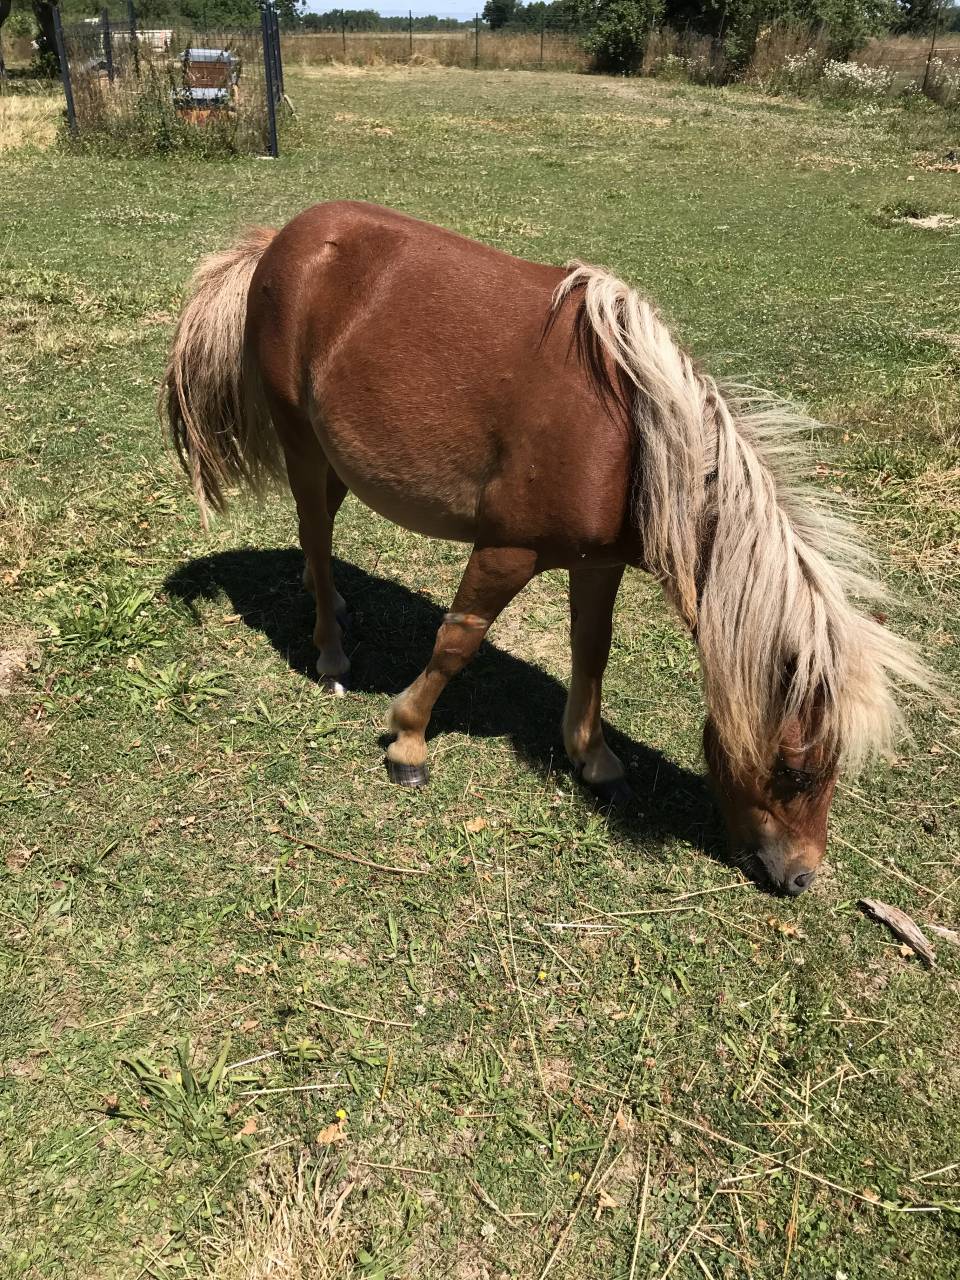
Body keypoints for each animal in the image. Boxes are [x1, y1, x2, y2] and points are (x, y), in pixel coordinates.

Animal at [163, 200, 932, 896]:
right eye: (795, 770)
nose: (802, 878)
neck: (632, 441)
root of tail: (282, 239)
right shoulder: (505, 551)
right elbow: (458, 641)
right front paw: (408, 740)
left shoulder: (599, 564)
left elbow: (592, 649)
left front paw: (594, 757)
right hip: (299, 440)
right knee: (316, 536)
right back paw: (330, 649)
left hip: (335, 457)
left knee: (318, 530)